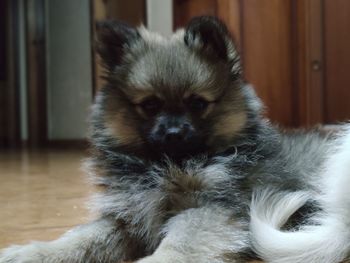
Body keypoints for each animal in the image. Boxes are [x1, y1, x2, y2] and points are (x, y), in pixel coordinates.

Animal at [0, 16, 350, 263]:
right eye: (150, 105)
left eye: (197, 103)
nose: (173, 132)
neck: (167, 167)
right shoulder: (127, 219)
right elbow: (79, 239)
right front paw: (32, 253)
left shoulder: (211, 210)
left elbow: (179, 246)